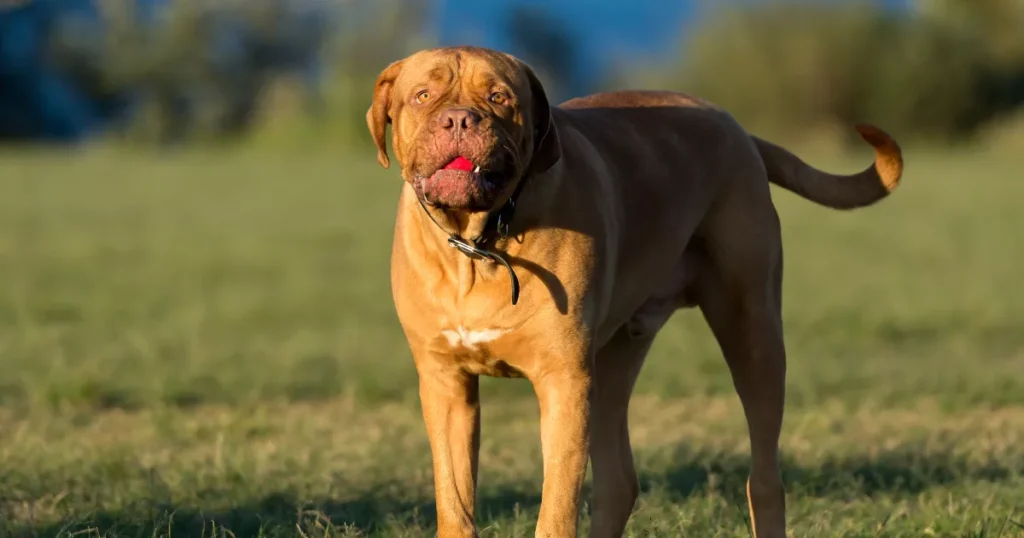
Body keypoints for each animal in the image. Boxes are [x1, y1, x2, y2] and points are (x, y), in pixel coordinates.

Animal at [366, 47, 905, 536]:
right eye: (423, 95)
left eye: (499, 97)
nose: (459, 119)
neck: (478, 246)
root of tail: (736, 128)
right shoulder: (447, 384)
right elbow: (455, 501)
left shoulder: (564, 381)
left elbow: (557, 507)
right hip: (614, 359)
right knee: (618, 481)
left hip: (752, 331)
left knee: (764, 476)